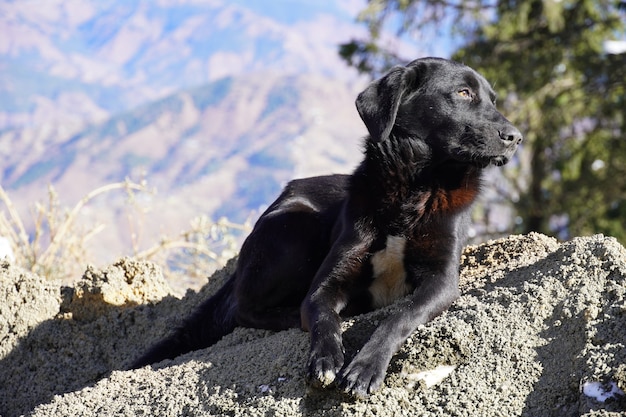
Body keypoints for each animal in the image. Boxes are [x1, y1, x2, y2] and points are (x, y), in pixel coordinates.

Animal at [133, 57, 520, 398]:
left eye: (493, 99)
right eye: (463, 93)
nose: (515, 137)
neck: (414, 185)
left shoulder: (442, 280)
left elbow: (400, 315)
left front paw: (365, 367)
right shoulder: (329, 281)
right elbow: (321, 316)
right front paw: (326, 358)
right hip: (294, 228)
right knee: (245, 308)